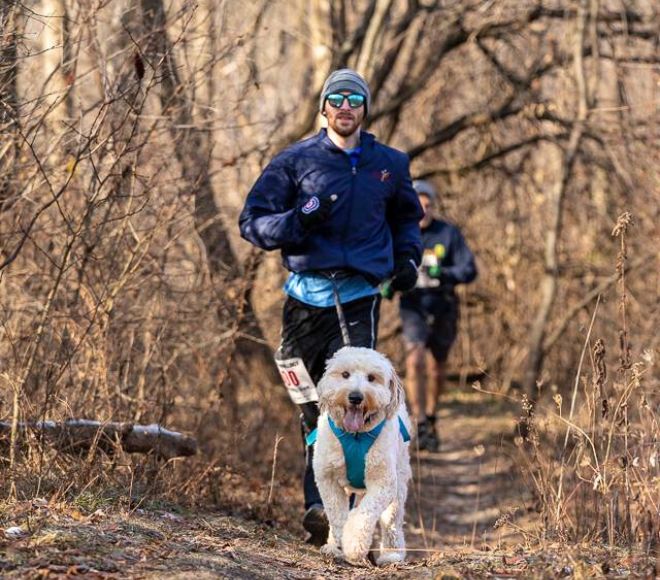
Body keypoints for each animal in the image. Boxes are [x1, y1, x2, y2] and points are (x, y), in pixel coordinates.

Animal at [312, 346, 410, 564]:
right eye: (345, 374)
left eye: (372, 378)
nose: (355, 397)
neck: (355, 436)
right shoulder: (327, 479)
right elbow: (337, 516)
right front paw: (339, 546)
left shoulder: (383, 482)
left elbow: (364, 515)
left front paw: (355, 546)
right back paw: (332, 546)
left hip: (398, 486)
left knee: (392, 522)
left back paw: (392, 555)